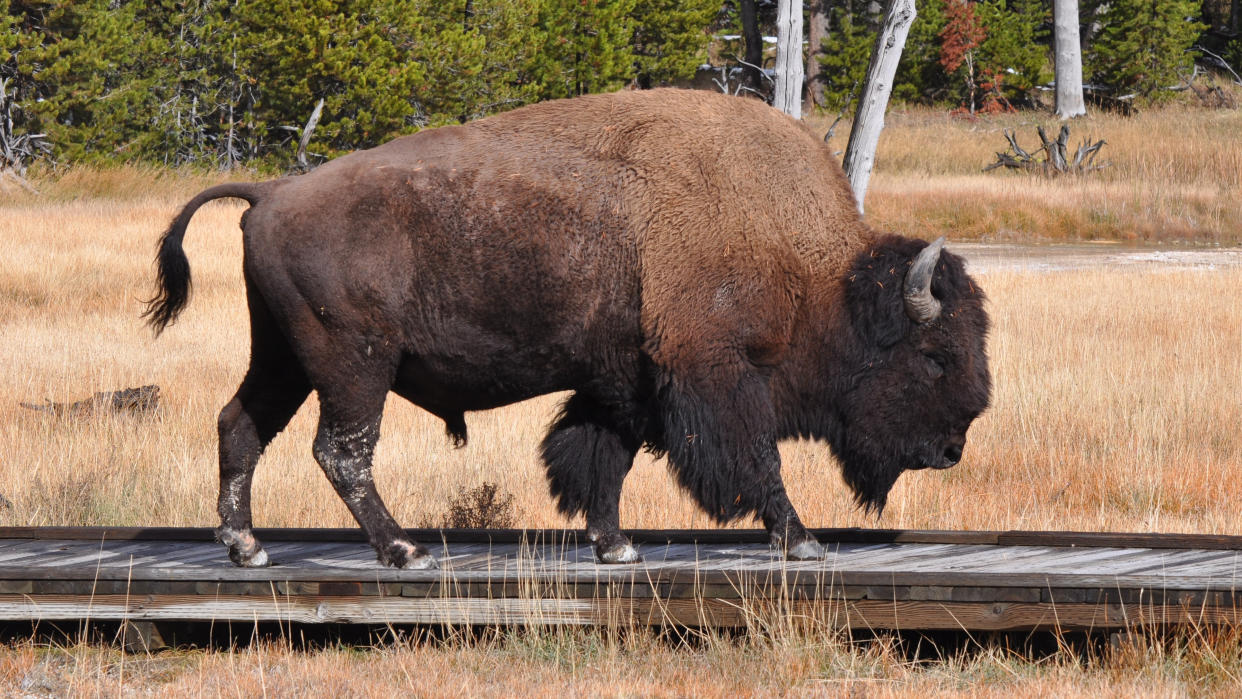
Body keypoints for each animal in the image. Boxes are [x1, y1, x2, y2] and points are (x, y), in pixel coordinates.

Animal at [145, 88, 988, 568]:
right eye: (935, 355)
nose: (954, 446)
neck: (814, 271)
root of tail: (271, 192)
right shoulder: (716, 375)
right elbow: (757, 461)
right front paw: (802, 537)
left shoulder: (623, 382)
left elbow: (599, 460)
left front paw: (615, 545)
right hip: (355, 365)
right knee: (341, 450)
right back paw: (402, 550)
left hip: (283, 357)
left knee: (239, 425)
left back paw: (247, 547)